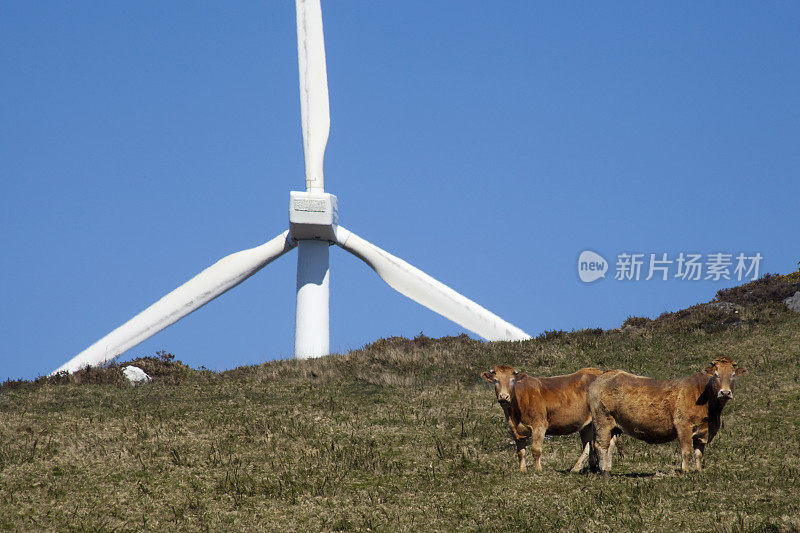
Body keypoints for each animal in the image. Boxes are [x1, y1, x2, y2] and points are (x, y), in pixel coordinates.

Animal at [584, 356, 748, 472]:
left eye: (733, 375)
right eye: (715, 375)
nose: (725, 392)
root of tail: (606, 374)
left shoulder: (703, 431)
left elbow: (698, 453)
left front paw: (699, 471)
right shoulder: (683, 426)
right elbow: (686, 451)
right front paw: (685, 472)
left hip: (614, 426)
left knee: (609, 446)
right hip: (602, 421)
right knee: (600, 445)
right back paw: (604, 471)